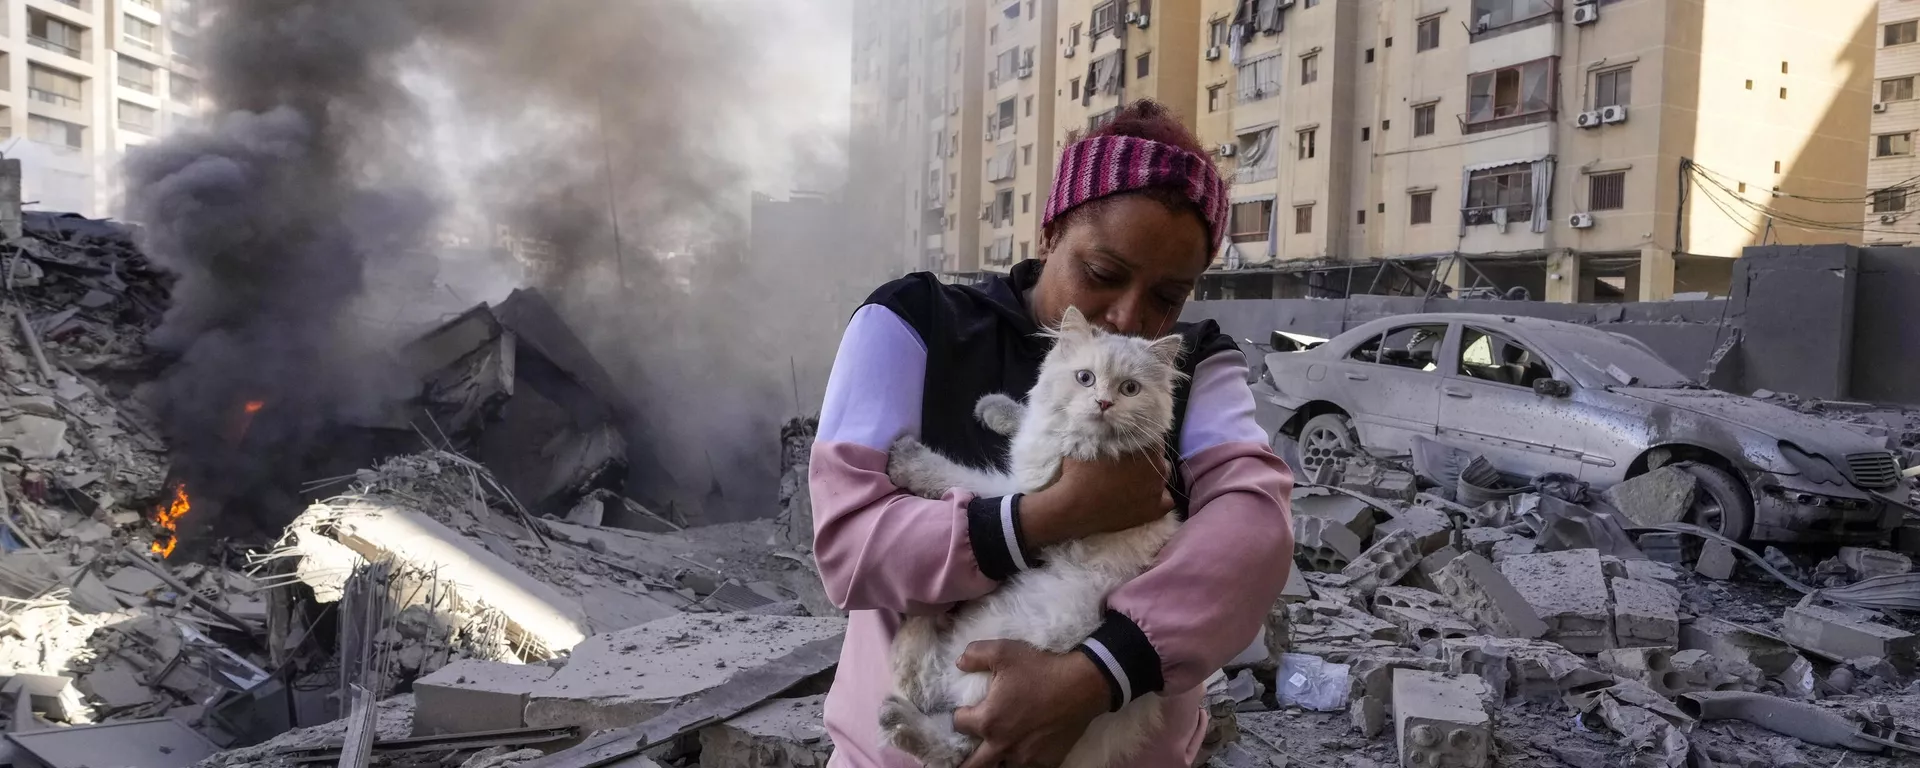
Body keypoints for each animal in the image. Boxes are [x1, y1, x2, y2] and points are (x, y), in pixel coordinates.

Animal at [879, 305, 1182, 768]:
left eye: (1130, 388)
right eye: (1085, 378)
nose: (1104, 402)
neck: (1087, 451)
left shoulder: (1019, 489)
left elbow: (958, 479)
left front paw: (908, 462)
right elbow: (1027, 415)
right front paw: (994, 409)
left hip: (990, 661)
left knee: (955, 734)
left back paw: (901, 709)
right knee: (931, 694)